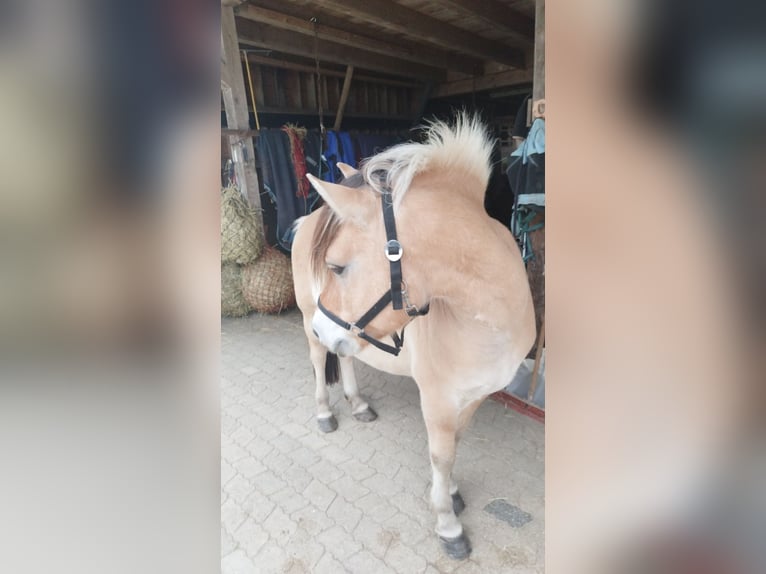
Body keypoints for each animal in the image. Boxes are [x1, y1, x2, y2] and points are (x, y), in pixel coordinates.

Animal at [292, 113, 536, 564]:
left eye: (338, 267)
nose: (323, 326)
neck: (484, 323)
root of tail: (307, 221)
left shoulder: (475, 396)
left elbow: (455, 444)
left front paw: (452, 493)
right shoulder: (437, 398)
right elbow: (442, 454)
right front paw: (447, 523)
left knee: (345, 357)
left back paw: (358, 403)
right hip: (306, 318)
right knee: (320, 362)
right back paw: (325, 413)